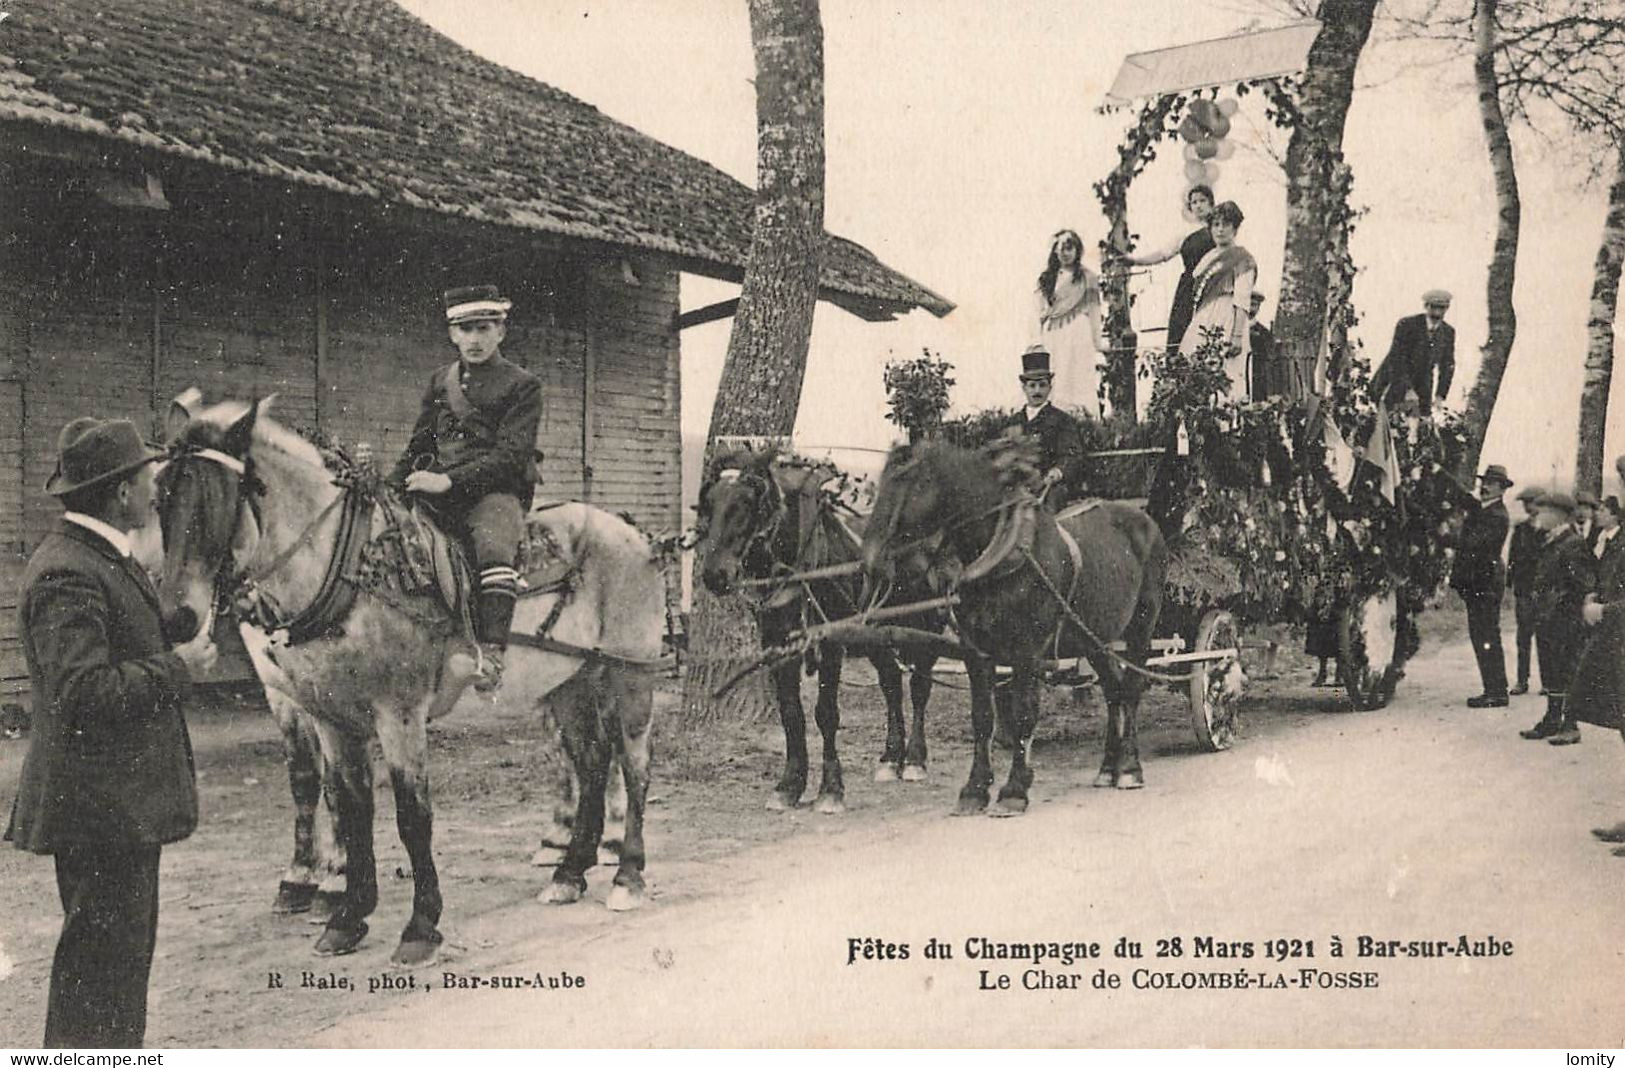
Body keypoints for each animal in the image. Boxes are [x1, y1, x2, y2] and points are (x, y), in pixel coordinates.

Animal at [152, 393, 659, 968]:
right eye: (160, 497)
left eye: (216, 499)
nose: (176, 618)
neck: (349, 567)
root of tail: (631, 531)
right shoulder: (328, 715)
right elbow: (348, 805)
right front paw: (347, 912)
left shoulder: (398, 714)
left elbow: (412, 815)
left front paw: (420, 924)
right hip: (568, 684)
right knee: (593, 763)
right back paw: (569, 873)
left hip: (628, 674)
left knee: (634, 767)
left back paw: (628, 874)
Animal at [695, 448, 942, 809]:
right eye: (709, 503)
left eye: (748, 503)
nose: (715, 574)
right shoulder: (777, 645)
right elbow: (791, 714)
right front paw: (789, 786)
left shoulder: (831, 644)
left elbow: (826, 714)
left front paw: (830, 789)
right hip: (876, 636)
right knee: (891, 683)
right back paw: (890, 759)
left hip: (929, 627)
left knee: (920, 687)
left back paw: (914, 760)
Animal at [858, 438, 1163, 812]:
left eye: (908, 482)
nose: (871, 561)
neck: (1001, 554)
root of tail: (1144, 519)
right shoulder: (976, 651)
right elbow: (982, 716)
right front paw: (975, 789)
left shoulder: (1027, 654)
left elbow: (1023, 715)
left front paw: (1015, 789)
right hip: (1095, 639)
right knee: (1113, 691)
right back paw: (1108, 768)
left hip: (1142, 628)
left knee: (1131, 690)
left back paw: (1130, 767)